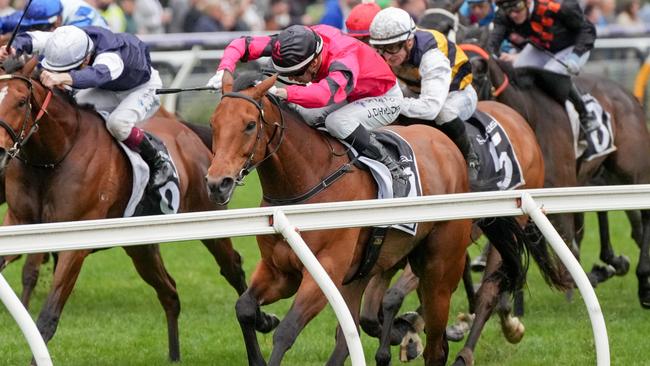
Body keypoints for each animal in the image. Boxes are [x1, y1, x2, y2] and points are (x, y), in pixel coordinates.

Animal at [0, 58, 270, 362]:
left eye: (21, 101)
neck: (53, 157)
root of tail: (189, 134)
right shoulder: (18, 224)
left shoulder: (74, 243)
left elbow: (47, 317)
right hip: (141, 247)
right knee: (170, 292)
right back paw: (174, 356)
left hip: (210, 220)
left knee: (233, 270)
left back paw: (259, 333)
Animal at [204, 72, 560, 366]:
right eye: (214, 124)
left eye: (250, 125)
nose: (217, 183)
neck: (306, 184)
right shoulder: (281, 271)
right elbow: (245, 309)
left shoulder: (324, 272)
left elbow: (288, 330)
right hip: (371, 265)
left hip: (440, 263)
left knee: (445, 337)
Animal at [464, 44, 648, 310]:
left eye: (477, 77)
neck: (528, 116)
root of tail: (627, 94)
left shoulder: (559, 188)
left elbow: (567, 248)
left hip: (632, 170)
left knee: (644, 216)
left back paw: (642, 282)